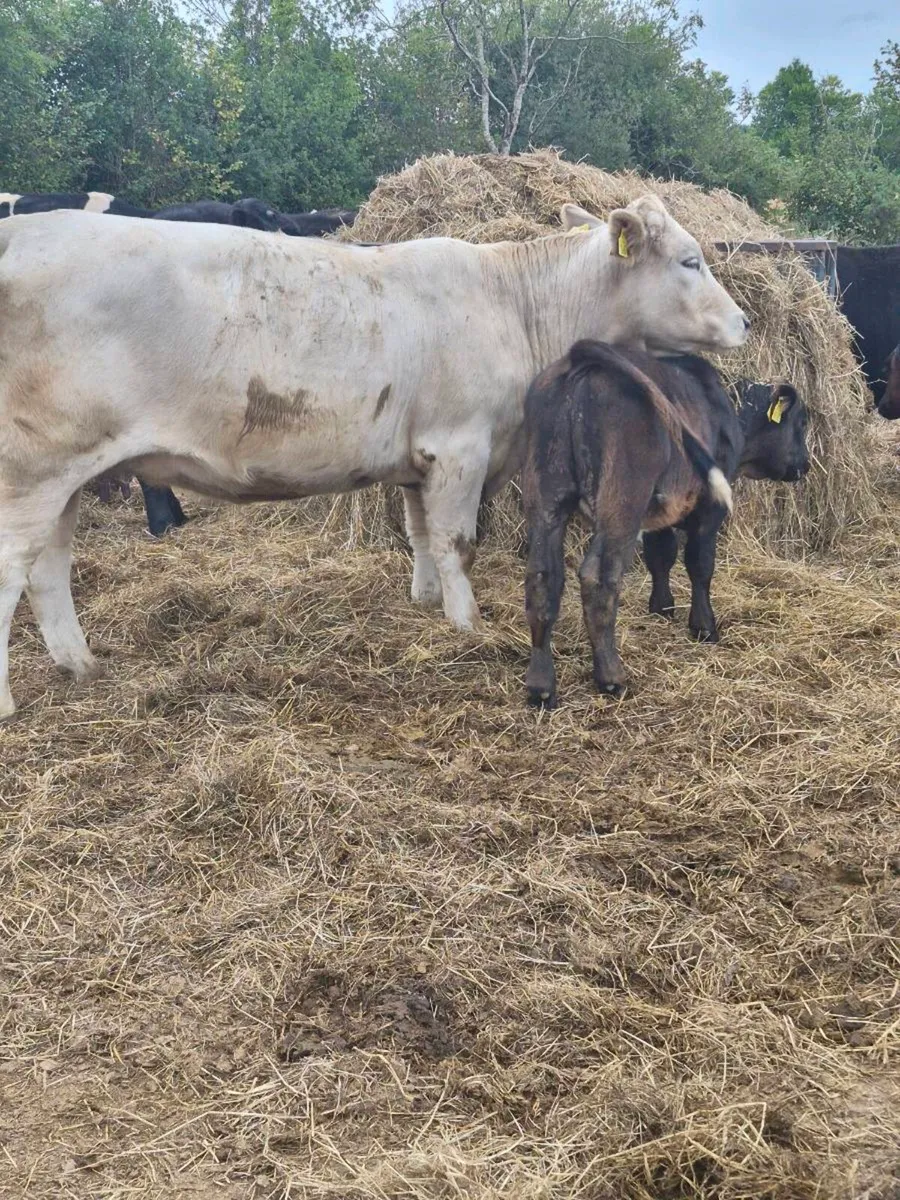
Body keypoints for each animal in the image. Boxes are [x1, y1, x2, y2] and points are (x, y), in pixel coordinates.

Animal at [0, 195, 749, 719]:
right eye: (690, 261)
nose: (745, 321)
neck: (513, 304)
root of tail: (24, 233)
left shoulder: (420, 458)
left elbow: (420, 534)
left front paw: (425, 604)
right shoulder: (460, 445)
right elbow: (457, 541)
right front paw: (467, 627)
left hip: (68, 475)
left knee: (49, 570)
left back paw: (80, 664)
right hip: (32, 471)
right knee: (15, 568)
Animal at [522, 342, 809, 708]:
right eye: (801, 423)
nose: (805, 464)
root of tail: (583, 358)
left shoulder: (660, 514)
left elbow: (661, 555)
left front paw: (661, 607)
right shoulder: (710, 510)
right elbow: (699, 565)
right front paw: (704, 627)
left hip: (547, 496)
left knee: (543, 578)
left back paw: (541, 686)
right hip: (621, 503)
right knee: (598, 578)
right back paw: (611, 677)